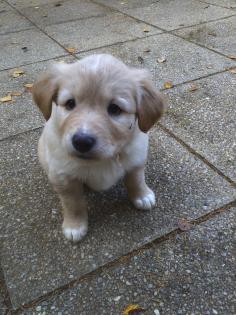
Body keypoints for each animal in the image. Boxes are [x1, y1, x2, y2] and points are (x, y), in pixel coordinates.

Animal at [32, 54, 166, 243]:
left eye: (115, 109)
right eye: (70, 103)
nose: (81, 141)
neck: (102, 160)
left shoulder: (136, 157)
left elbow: (136, 179)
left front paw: (142, 195)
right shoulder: (63, 177)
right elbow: (73, 204)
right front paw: (74, 226)